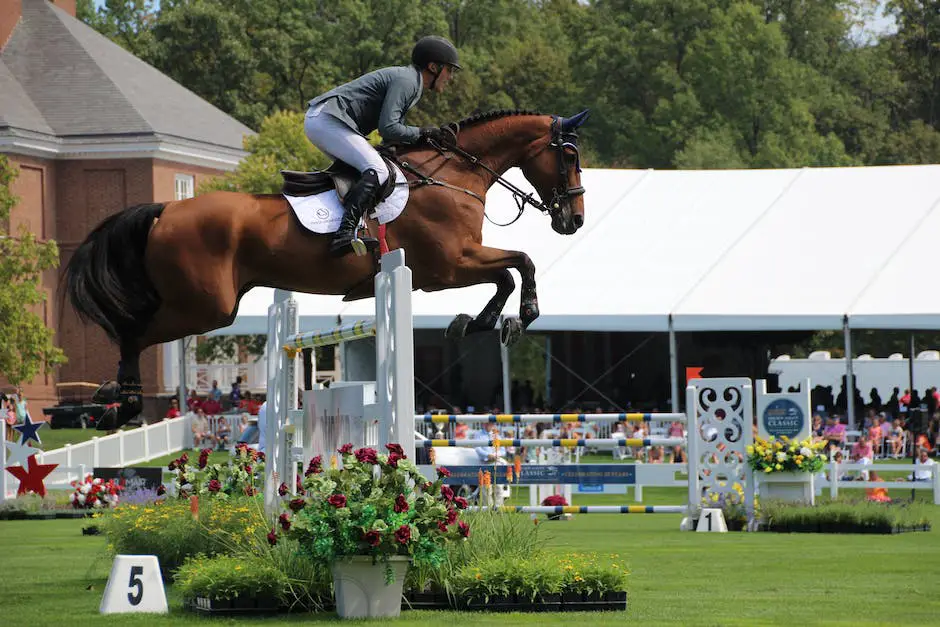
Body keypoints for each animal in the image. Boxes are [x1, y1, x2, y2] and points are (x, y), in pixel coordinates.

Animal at [62, 109, 588, 432]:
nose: (574, 220)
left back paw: (110, 398)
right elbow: (519, 263)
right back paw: (120, 404)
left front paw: (478, 322)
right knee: (132, 330)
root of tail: (166, 209)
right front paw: (521, 314)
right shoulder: (449, 265)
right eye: (569, 155)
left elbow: (508, 271)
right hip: (205, 307)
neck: (451, 176)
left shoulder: (453, 265)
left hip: (200, 303)